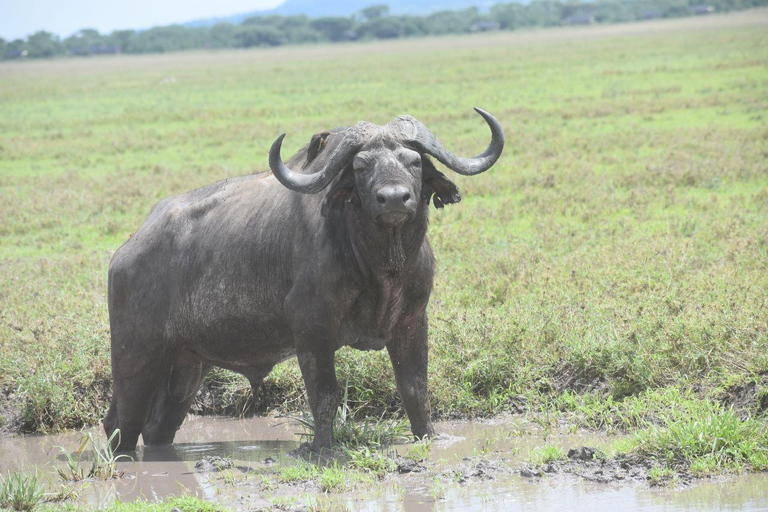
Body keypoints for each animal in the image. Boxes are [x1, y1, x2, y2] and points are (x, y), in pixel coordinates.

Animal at [106, 106, 504, 450]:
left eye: (415, 161)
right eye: (360, 166)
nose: (393, 199)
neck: (381, 265)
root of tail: (126, 252)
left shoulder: (412, 321)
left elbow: (415, 389)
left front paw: (429, 439)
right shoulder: (312, 330)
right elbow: (325, 395)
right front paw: (323, 448)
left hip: (186, 366)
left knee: (157, 426)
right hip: (136, 357)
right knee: (120, 422)